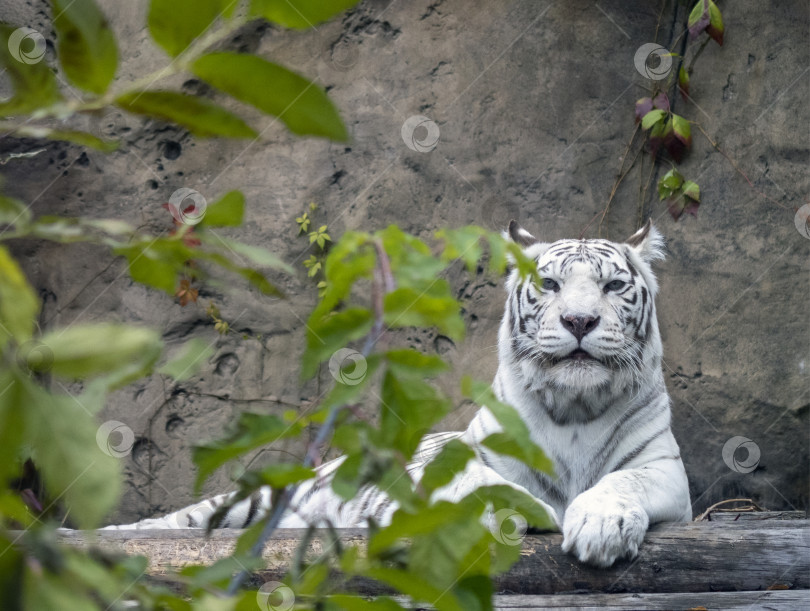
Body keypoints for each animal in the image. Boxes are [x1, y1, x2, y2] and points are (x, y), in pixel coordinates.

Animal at [107, 222, 688, 572]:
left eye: (613, 287)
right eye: (548, 284)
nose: (579, 321)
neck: (573, 407)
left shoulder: (664, 469)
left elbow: (622, 480)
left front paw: (602, 526)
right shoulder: (448, 462)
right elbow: (478, 480)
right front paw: (529, 508)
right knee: (181, 520)